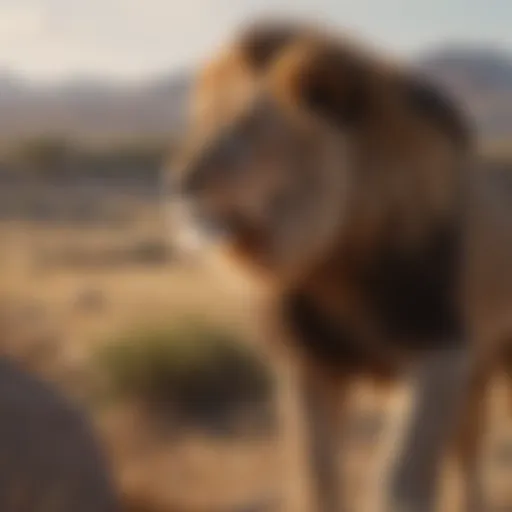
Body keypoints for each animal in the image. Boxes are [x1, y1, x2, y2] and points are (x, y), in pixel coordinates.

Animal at [167, 19, 512, 512]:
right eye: (205, 124)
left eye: (246, 130)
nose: (177, 182)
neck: (334, 256)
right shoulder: (309, 361)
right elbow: (317, 473)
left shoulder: (442, 349)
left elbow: (400, 475)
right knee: (468, 450)